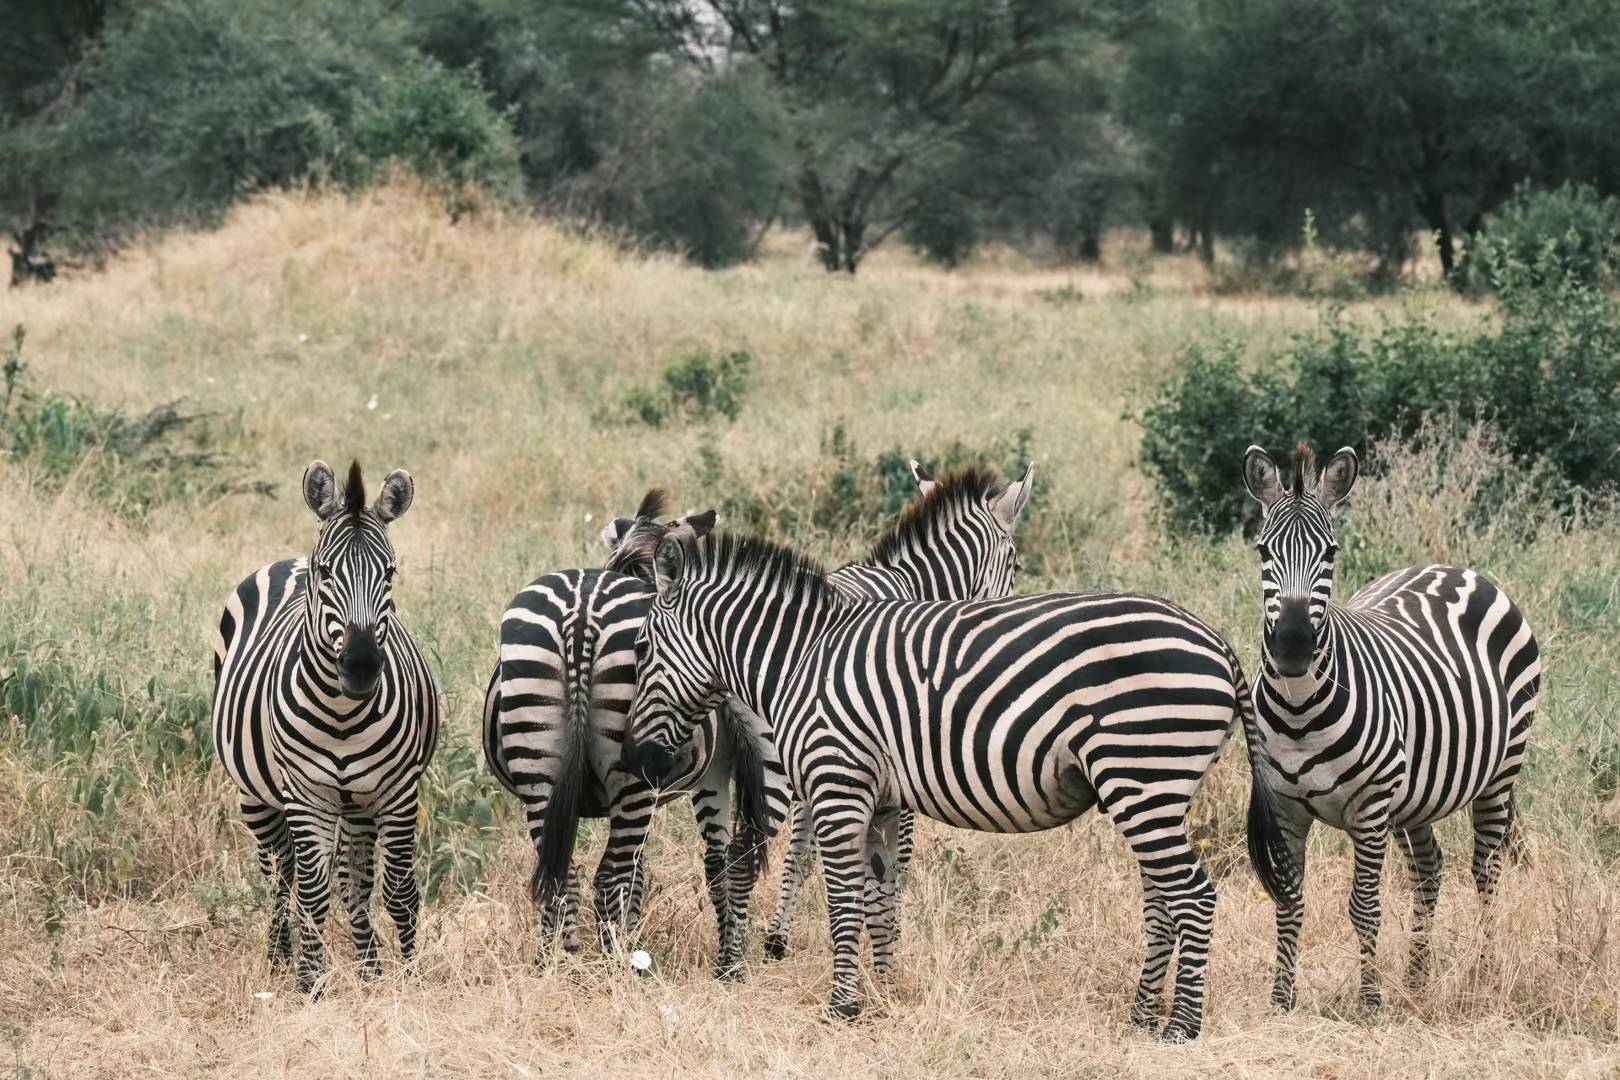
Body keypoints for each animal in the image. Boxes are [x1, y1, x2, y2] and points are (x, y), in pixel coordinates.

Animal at [211, 460, 439, 992]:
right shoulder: (306, 794)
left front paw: (408, 979)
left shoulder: (398, 791)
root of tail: (289, 559)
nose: (360, 667)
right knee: (281, 875)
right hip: (256, 795)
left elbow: (398, 891)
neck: (342, 713)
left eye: (390, 572)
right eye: (326, 572)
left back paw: (369, 967)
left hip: (356, 803)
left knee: (354, 884)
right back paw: (279, 956)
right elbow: (312, 895)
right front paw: (311, 986)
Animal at [621, 531, 1272, 1040]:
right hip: (1156, 787)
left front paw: (842, 1008)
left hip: (1143, 773)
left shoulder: (838, 785)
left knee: (1194, 894)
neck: (800, 660)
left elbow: (844, 901)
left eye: (642, 647)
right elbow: (879, 900)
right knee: (1162, 898)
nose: (637, 759)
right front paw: (884, 995)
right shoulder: (880, 801)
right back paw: (1141, 1015)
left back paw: (1181, 1027)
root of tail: (1219, 644)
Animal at [1241, 443, 1540, 1011]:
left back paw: (1485, 973)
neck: (1299, 713)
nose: (1292, 647)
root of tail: (1452, 568)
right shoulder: (1286, 808)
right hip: (1416, 795)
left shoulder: (1370, 807)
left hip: (1500, 771)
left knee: (1486, 870)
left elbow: (1363, 906)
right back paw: (1418, 980)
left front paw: (1370, 1001)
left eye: (1330, 553)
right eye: (1264, 553)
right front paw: (1280, 1000)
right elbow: (1288, 899)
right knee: (1429, 869)